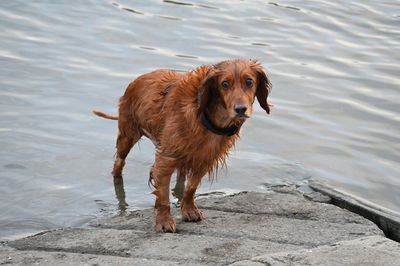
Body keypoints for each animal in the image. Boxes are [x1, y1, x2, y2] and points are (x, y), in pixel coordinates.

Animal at [93, 59, 272, 232]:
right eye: (225, 84)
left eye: (249, 81)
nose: (241, 109)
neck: (205, 116)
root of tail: (138, 79)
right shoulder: (166, 158)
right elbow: (163, 196)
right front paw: (164, 221)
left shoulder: (204, 160)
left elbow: (190, 188)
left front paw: (189, 210)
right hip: (127, 136)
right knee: (119, 164)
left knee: (181, 173)